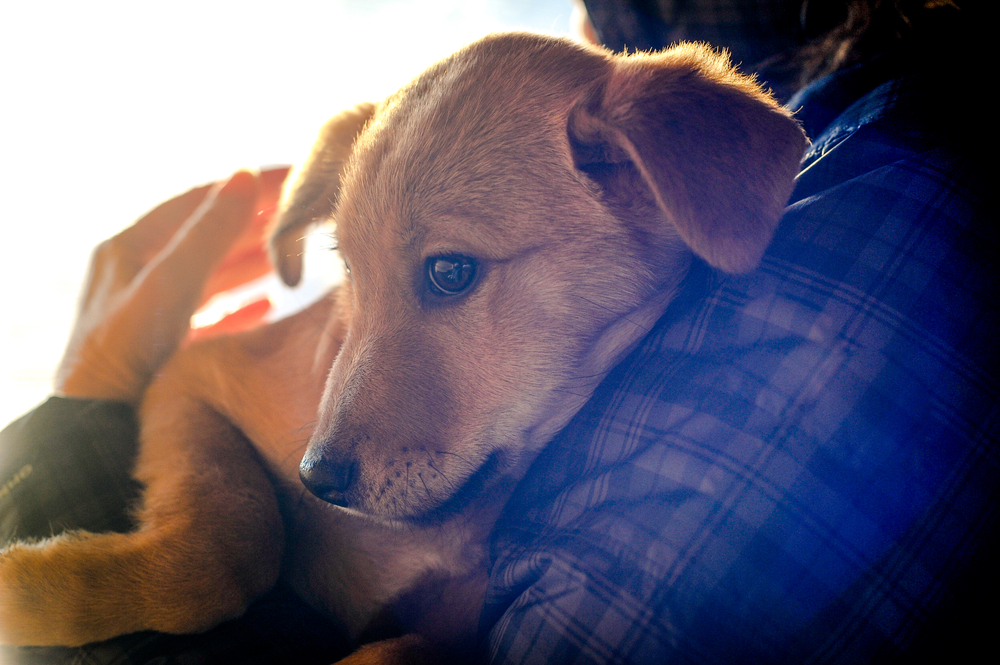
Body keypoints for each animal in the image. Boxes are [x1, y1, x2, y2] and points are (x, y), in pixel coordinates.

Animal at [0, 35, 804, 660]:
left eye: (450, 271)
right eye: (348, 269)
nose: (315, 478)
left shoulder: (453, 628)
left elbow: (386, 640)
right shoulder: (191, 377)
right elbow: (228, 544)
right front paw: (31, 591)